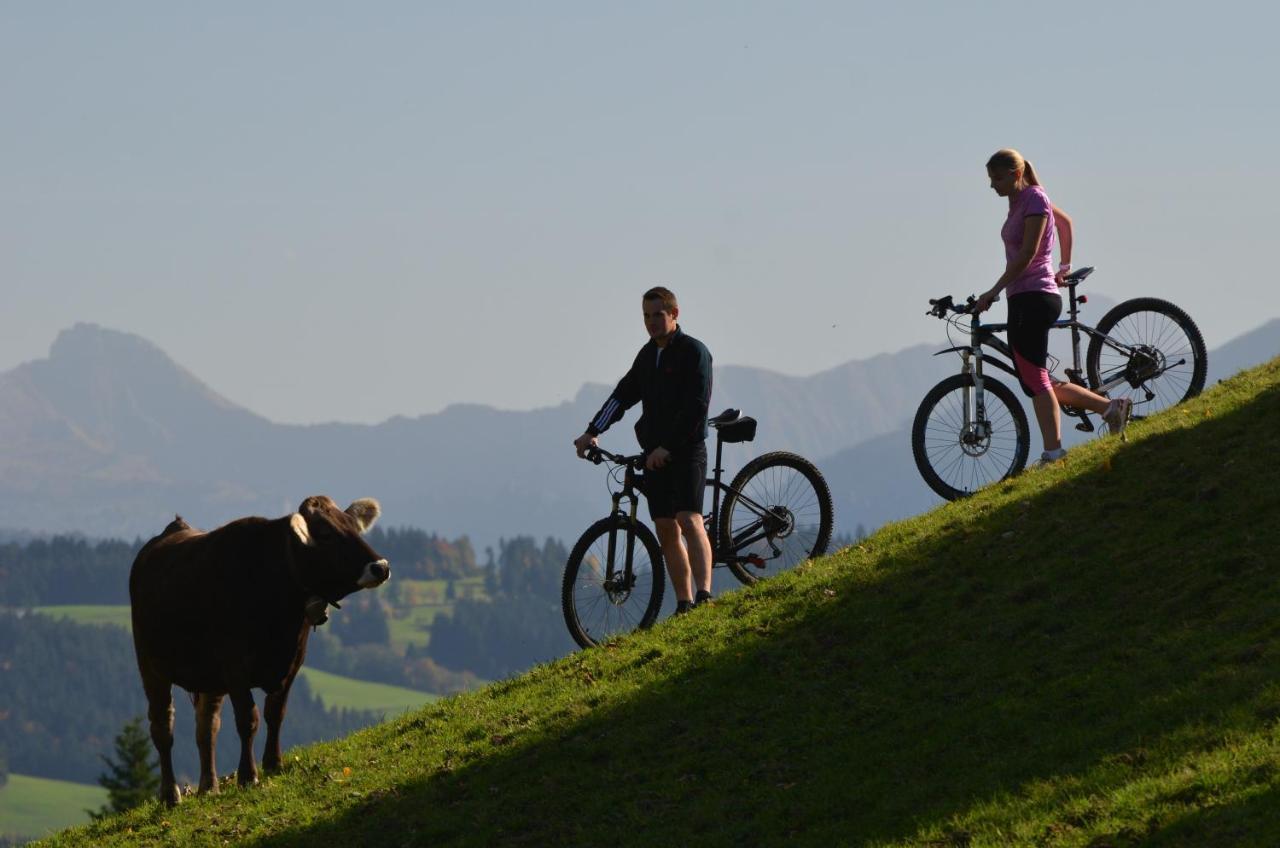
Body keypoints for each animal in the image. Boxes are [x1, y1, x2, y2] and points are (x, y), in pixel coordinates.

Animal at [130, 494, 391, 809]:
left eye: (354, 526)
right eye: (326, 533)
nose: (380, 566)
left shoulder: (293, 661)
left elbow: (275, 712)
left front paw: (274, 764)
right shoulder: (235, 667)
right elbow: (248, 719)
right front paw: (248, 776)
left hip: (209, 677)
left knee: (207, 727)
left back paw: (209, 786)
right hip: (150, 666)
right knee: (162, 728)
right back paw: (170, 794)